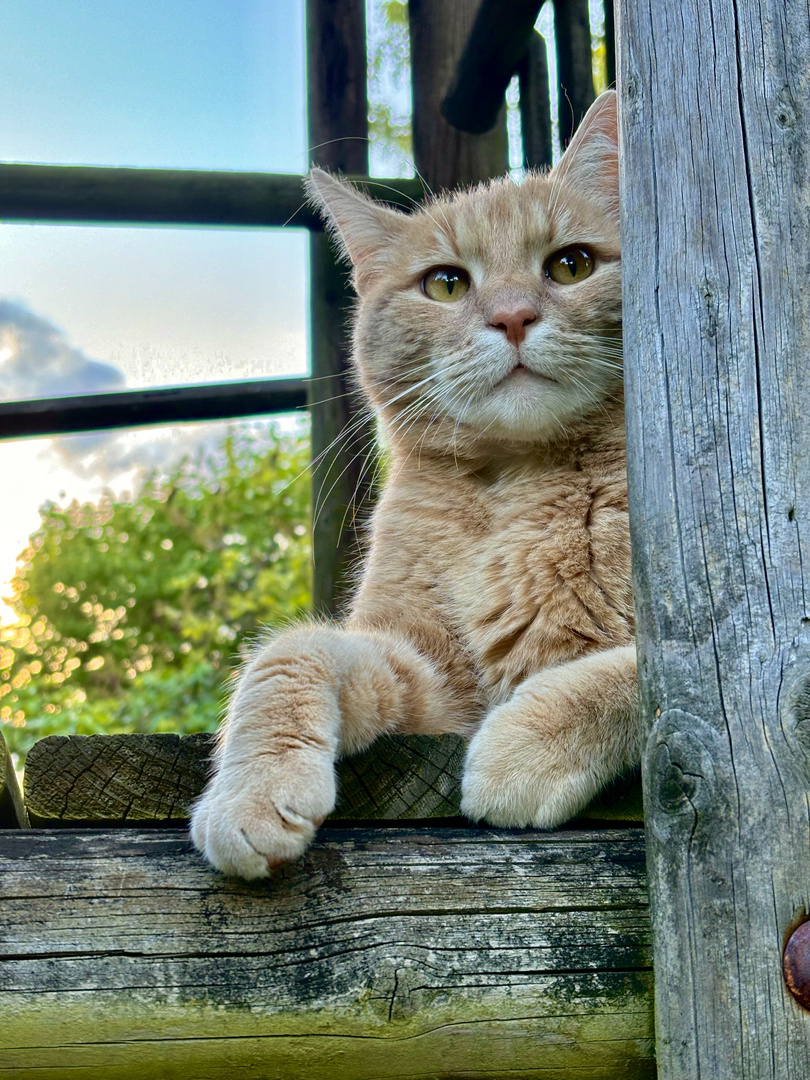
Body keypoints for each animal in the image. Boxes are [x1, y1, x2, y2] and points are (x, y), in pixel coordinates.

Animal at [190, 88, 639, 881]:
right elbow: (291, 653)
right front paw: (251, 792)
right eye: (446, 283)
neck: (514, 488)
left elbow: (656, 671)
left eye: (572, 265)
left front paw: (526, 748)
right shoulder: (427, 684)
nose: (513, 316)